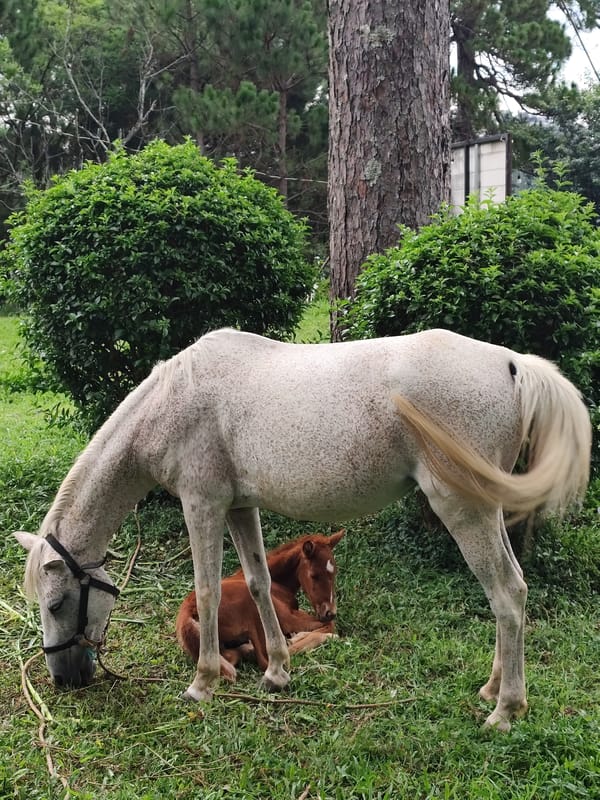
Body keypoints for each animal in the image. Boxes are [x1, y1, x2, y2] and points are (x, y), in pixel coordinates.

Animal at [176, 530, 345, 680]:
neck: (274, 583)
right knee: (268, 659)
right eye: (314, 575)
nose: (330, 612)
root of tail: (188, 614)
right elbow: (330, 625)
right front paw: (301, 635)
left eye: (335, 572)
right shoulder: (287, 618)